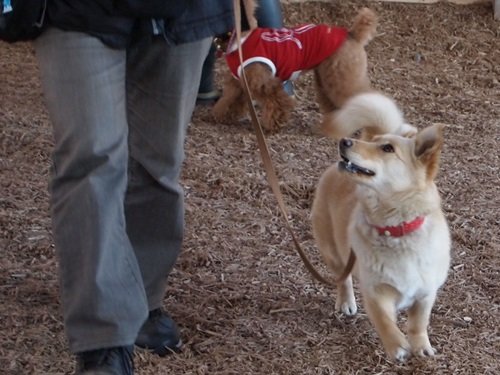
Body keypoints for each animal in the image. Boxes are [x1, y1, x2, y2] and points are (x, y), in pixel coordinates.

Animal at [213, 6, 376, 134]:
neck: (238, 41)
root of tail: (353, 34)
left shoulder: (263, 82)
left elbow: (276, 102)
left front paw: (273, 125)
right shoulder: (239, 81)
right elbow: (229, 99)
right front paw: (220, 115)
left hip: (341, 76)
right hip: (327, 78)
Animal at [310, 92, 452, 362]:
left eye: (387, 148)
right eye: (375, 143)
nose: (345, 141)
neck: (396, 229)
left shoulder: (426, 293)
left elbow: (419, 324)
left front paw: (421, 347)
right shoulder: (376, 291)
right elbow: (385, 321)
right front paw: (397, 347)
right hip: (332, 252)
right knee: (342, 279)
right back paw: (346, 302)